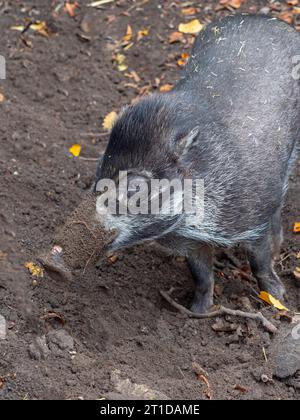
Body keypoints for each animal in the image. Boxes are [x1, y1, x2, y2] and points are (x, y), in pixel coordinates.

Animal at [95, 13, 300, 312]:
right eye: (100, 168)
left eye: (135, 186)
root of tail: (269, 19)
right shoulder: (191, 242)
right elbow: (201, 274)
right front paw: (197, 312)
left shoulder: (255, 218)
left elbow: (259, 261)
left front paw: (279, 299)